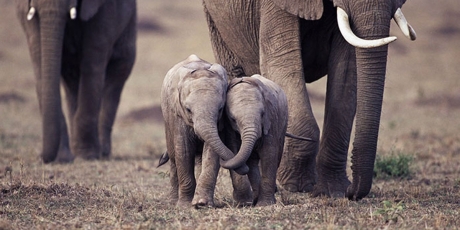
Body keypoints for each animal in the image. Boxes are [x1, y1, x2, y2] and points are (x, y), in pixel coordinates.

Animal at [15, 0, 137, 163]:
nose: (42, 158)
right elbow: (39, 61)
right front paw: (62, 158)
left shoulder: (105, 11)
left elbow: (92, 62)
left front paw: (86, 156)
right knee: (71, 81)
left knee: (117, 75)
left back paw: (103, 152)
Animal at [160, 54, 250, 208]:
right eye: (188, 109)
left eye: (220, 109)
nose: (245, 168)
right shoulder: (177, 115)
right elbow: (184, 151)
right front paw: (184, 206)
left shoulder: (219, 122)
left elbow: (211, 152)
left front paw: (202, 203)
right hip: (167, 119)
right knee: (173, 157)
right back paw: (173, 201)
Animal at [219, 74, 288, 207]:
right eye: (233, 119)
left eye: (262, 114)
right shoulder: (229, 128)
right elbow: (234, 150)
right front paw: (245, 203)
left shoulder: (271, 120)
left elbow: (269, 155)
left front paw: (265, 204)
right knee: (252, 162)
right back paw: (255, 199)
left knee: (277, 155)